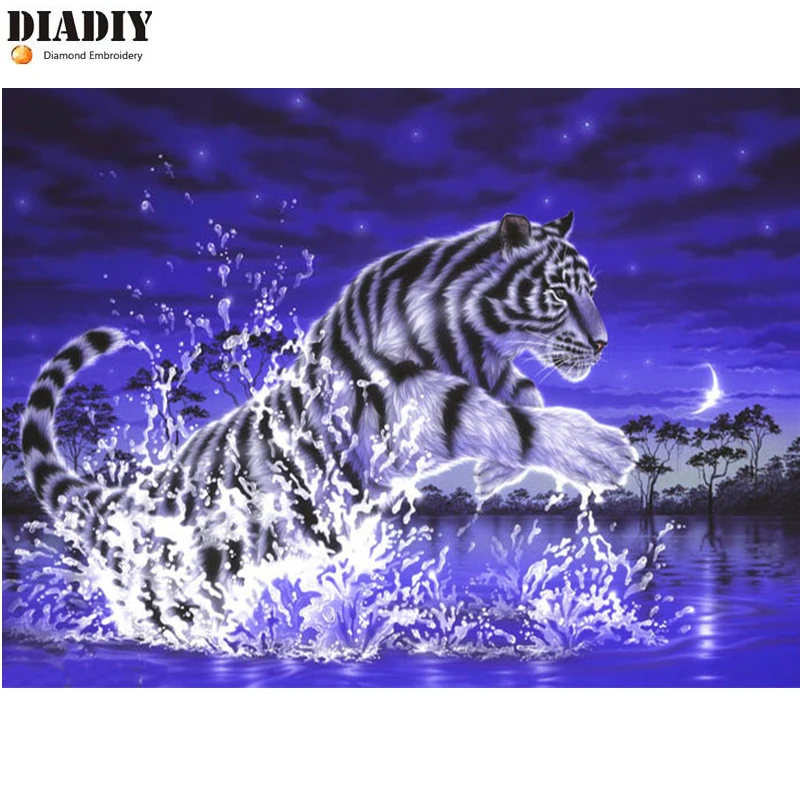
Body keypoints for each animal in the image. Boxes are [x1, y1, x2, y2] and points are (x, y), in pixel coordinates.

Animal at [21, 211, 637, 581]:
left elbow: (526, 398)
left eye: (592, 291)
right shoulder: (407, 401)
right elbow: (502, 416)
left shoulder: (490, 372)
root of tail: (133, 495)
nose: (604, 344)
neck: (473, 341)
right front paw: (600, 450)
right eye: (559, 293)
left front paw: (492, 475)